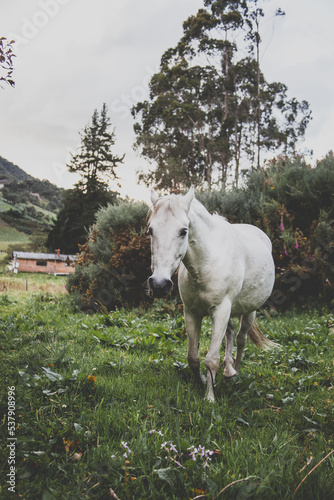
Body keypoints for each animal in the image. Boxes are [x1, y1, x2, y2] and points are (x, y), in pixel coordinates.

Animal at [148, 188, 276, 402]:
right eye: (150, 230)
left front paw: (209, 398)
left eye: (183, 231)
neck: (206, 262)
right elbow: (193, 357)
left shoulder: (221, 310)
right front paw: (201, 381)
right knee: (230, 333)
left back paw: (235, 374)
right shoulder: (192, 313)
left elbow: (212, 359)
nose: (159, 284)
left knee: (241, 339)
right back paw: (229, 369)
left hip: (249, 311)